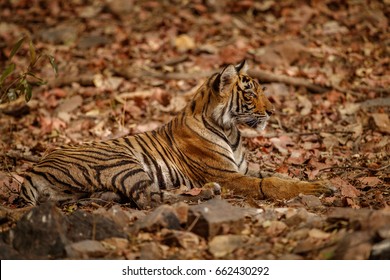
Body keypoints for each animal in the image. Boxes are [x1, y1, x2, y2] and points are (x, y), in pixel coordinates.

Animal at [20, 60, 332, 210]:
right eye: (250, 93)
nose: (272, 111)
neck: (230, 130)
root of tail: (33, 169)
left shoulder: (242, 169)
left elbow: (277, 176)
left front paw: (317, 183)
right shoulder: (226, 175)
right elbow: (270, 184)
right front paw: (319, 188)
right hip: (121, 162)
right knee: (149, 199)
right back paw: (206, 193)